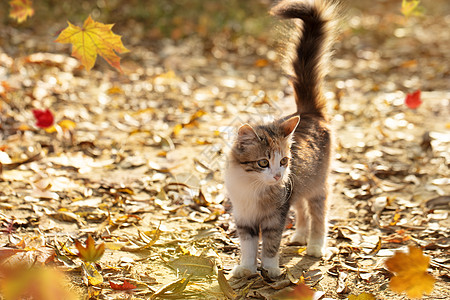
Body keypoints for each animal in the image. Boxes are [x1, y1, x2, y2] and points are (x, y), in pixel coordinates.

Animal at [223, 0, 336, 278]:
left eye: (283, 161)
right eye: (263, 163)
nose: (277, 176)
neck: (253, 187)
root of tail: (308, 113)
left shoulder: (276, 217)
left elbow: (271, 245)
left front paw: (271, 270)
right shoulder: (244, 217)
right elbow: (249, 247)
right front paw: (246, 269)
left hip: (317, 186)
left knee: (318, 216)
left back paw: (315, 246)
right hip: (299, 187)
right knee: (303, 212)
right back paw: (300, 236)